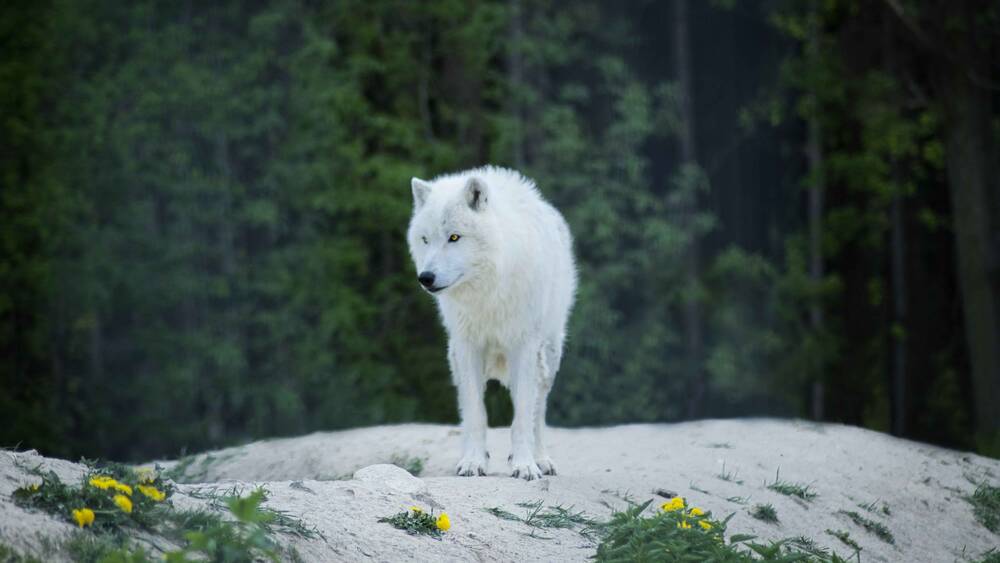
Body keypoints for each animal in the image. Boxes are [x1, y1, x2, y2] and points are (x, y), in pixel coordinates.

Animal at [407, 166, 577, 480]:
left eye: (454, 237)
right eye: (425, 239)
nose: (425, 278)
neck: (487, 291)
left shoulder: (524, 345)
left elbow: (522, 416)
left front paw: (524, 465)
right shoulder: (468, 346)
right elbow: (476, 413)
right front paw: (473, 462)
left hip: (547, 357)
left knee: (538, 412)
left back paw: (541, 459)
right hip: (455, 360)